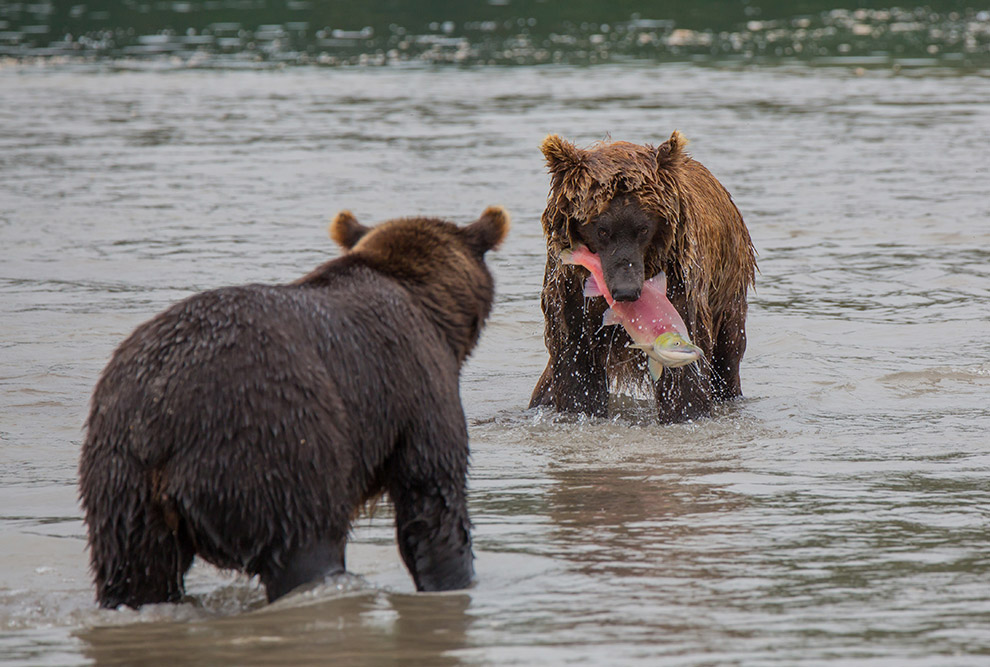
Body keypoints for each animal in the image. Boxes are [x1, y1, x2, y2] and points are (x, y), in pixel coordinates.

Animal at [78, 206, 512, 608]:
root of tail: (158, 416)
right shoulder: (418, 386)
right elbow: (433, 499)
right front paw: (454, 578)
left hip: (122, 484)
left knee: (138, 574)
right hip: (271, 444)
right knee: (306, 547)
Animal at [536, 132, 760, 422]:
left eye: (643, 228)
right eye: (602, 230)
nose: (626, 291)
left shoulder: (679, 284)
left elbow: (684, 375)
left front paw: (685, 411)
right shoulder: (570, 294)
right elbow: (575, 362)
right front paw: (581, 408)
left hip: (728, 290)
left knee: (728, 355)